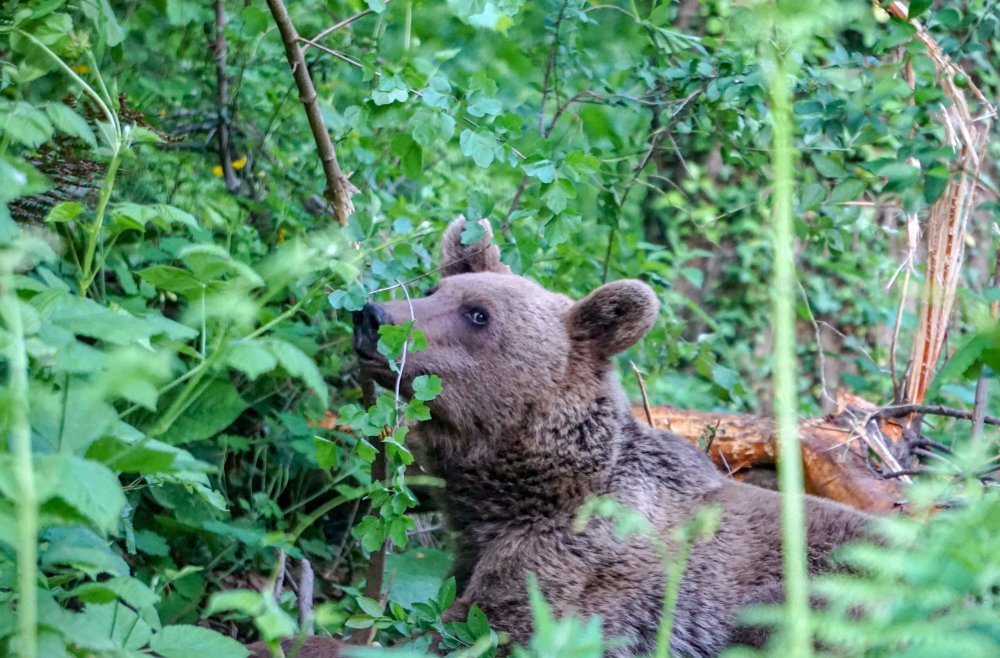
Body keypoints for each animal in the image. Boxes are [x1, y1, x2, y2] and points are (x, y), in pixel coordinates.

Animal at [348, 218, 872, 652]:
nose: (371, 315)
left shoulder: (580, 559)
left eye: (478, 314)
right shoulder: (476, 545)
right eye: (435, 288)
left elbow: (481, 626)